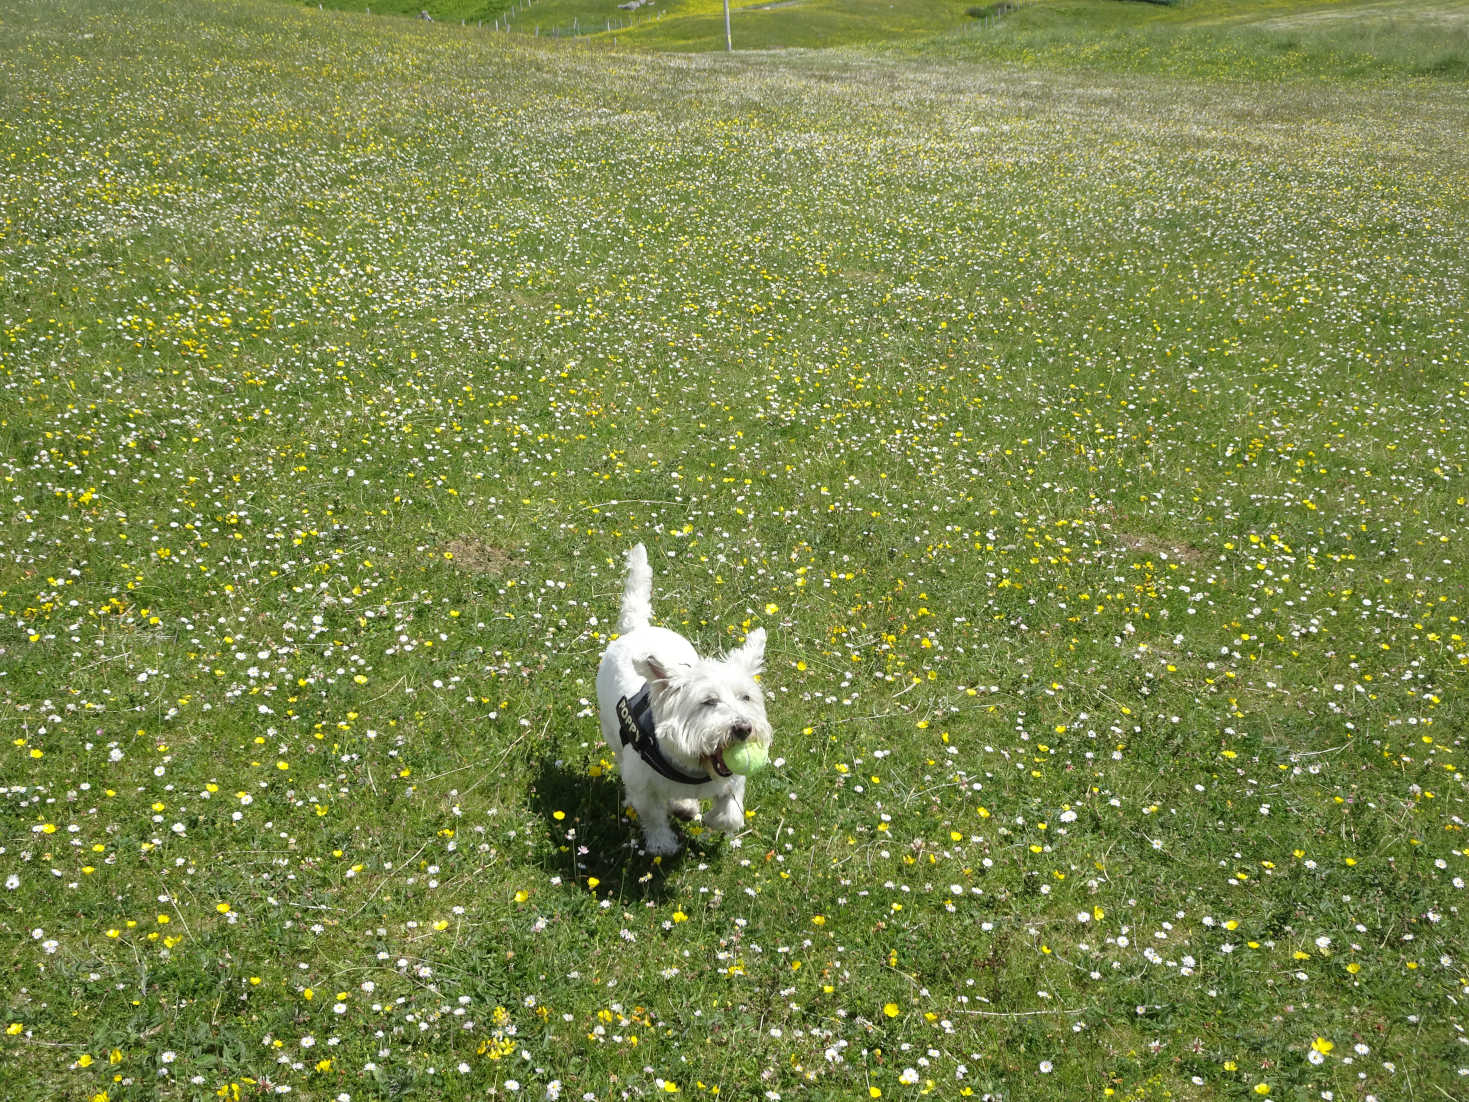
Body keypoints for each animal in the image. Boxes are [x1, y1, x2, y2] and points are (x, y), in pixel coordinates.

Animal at [596, 549, 775, 858]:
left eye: (746, 697)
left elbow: (731, 813)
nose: (743, 729)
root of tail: (639, 629)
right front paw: (662, 843)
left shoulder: (733, 779)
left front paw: (712, 818)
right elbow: (653, 814)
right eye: (708, 701)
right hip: (611, 732)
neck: (693, 769)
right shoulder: (643, 784)